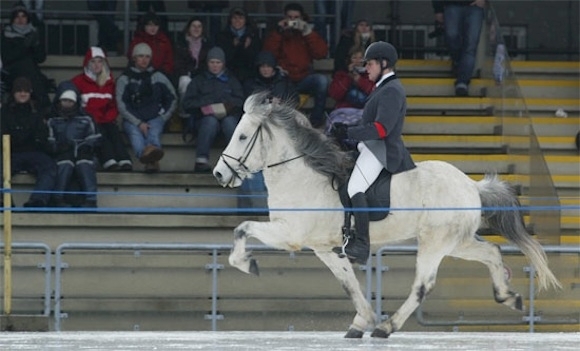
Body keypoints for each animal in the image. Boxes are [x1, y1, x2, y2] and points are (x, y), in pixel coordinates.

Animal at [214, 93, 560, 338]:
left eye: (242, 136)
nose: (219, 174)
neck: (302, 176)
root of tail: (471, 185)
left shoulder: (290, 234)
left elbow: (242, 229)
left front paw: (247, 263)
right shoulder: (324, 248)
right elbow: (349, 285)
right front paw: (361, 322)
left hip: (435, 243)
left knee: (423, 285)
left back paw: (387, 327)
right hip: (456, 242)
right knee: (491, 251)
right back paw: (508, 297)